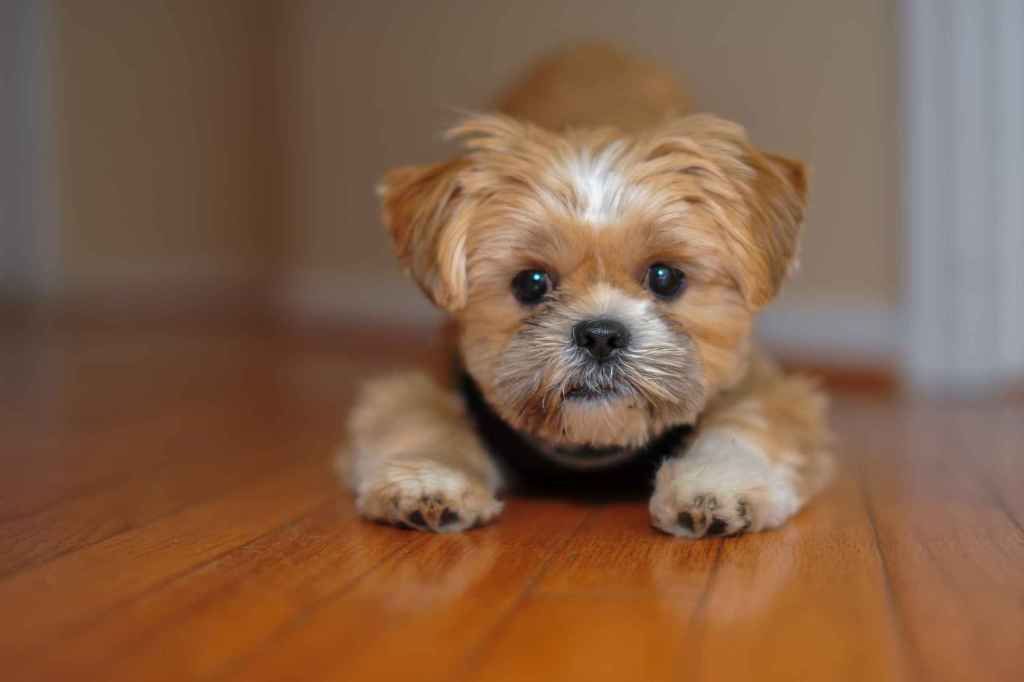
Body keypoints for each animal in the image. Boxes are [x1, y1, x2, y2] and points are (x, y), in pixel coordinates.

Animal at [337, 45, 831, 540]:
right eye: (530, 282)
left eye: (665, 277)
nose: (600, 336)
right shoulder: (429, 377)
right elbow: (422, 421)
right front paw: (429, 479)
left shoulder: (763, 385)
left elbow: (745, 423)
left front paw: (717, 483)